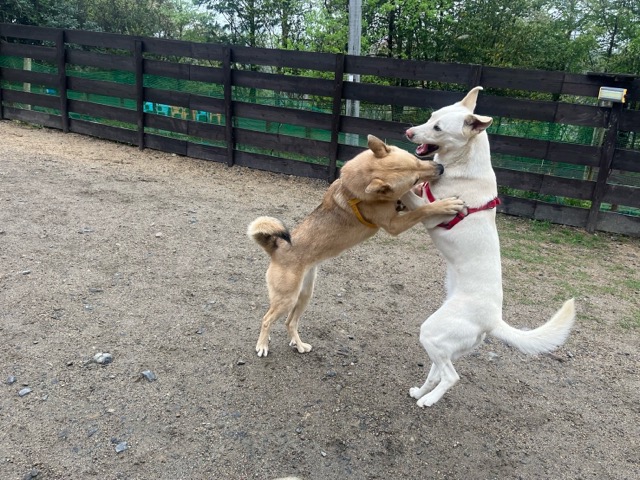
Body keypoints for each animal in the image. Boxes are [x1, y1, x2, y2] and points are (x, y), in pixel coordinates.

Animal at [248, 134, 465, 357]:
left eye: (416, 160)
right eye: (413, 179)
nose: (440, 167)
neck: (354, 190)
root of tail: (276, 248)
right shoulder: (394, 225)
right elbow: (423, 210)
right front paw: (446, 205)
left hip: (304, 294)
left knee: (290, 322)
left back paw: (299, 345)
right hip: (287, 298)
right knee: (266, 319)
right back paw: (263, 345)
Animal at [400, 87, 575, 407]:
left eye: (437, 128)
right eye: (431, 117)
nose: (408, 132)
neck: (463, 165)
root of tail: (494, 320)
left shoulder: (429, 212)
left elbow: (413, 194)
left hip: (432, 332)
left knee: (451, 376)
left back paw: (428, 400)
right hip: (441, 342)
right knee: (438, 372)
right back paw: (421, 392)